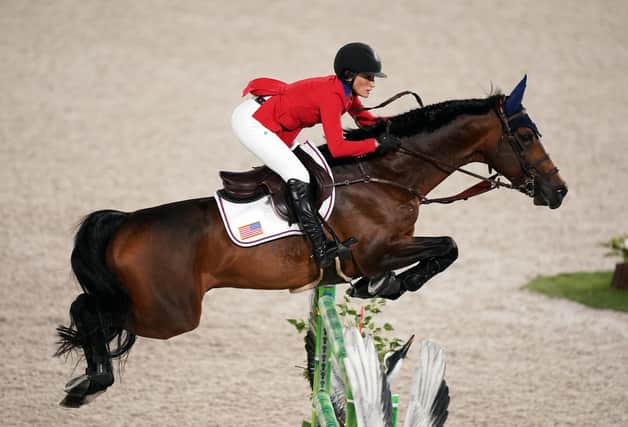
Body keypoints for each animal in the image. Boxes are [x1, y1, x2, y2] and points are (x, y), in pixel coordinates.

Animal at [55, 76, 568, 408]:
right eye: (526, 135)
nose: (558, 191)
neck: (388, 177)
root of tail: (123, 224)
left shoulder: (390, 247)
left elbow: (445, 248)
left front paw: (381, 286)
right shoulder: (374, 251)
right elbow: (447, 245)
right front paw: (387, 285)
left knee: (87, 307)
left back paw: (87, 381)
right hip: (171, 314)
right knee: (93, 311)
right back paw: (91, 382)